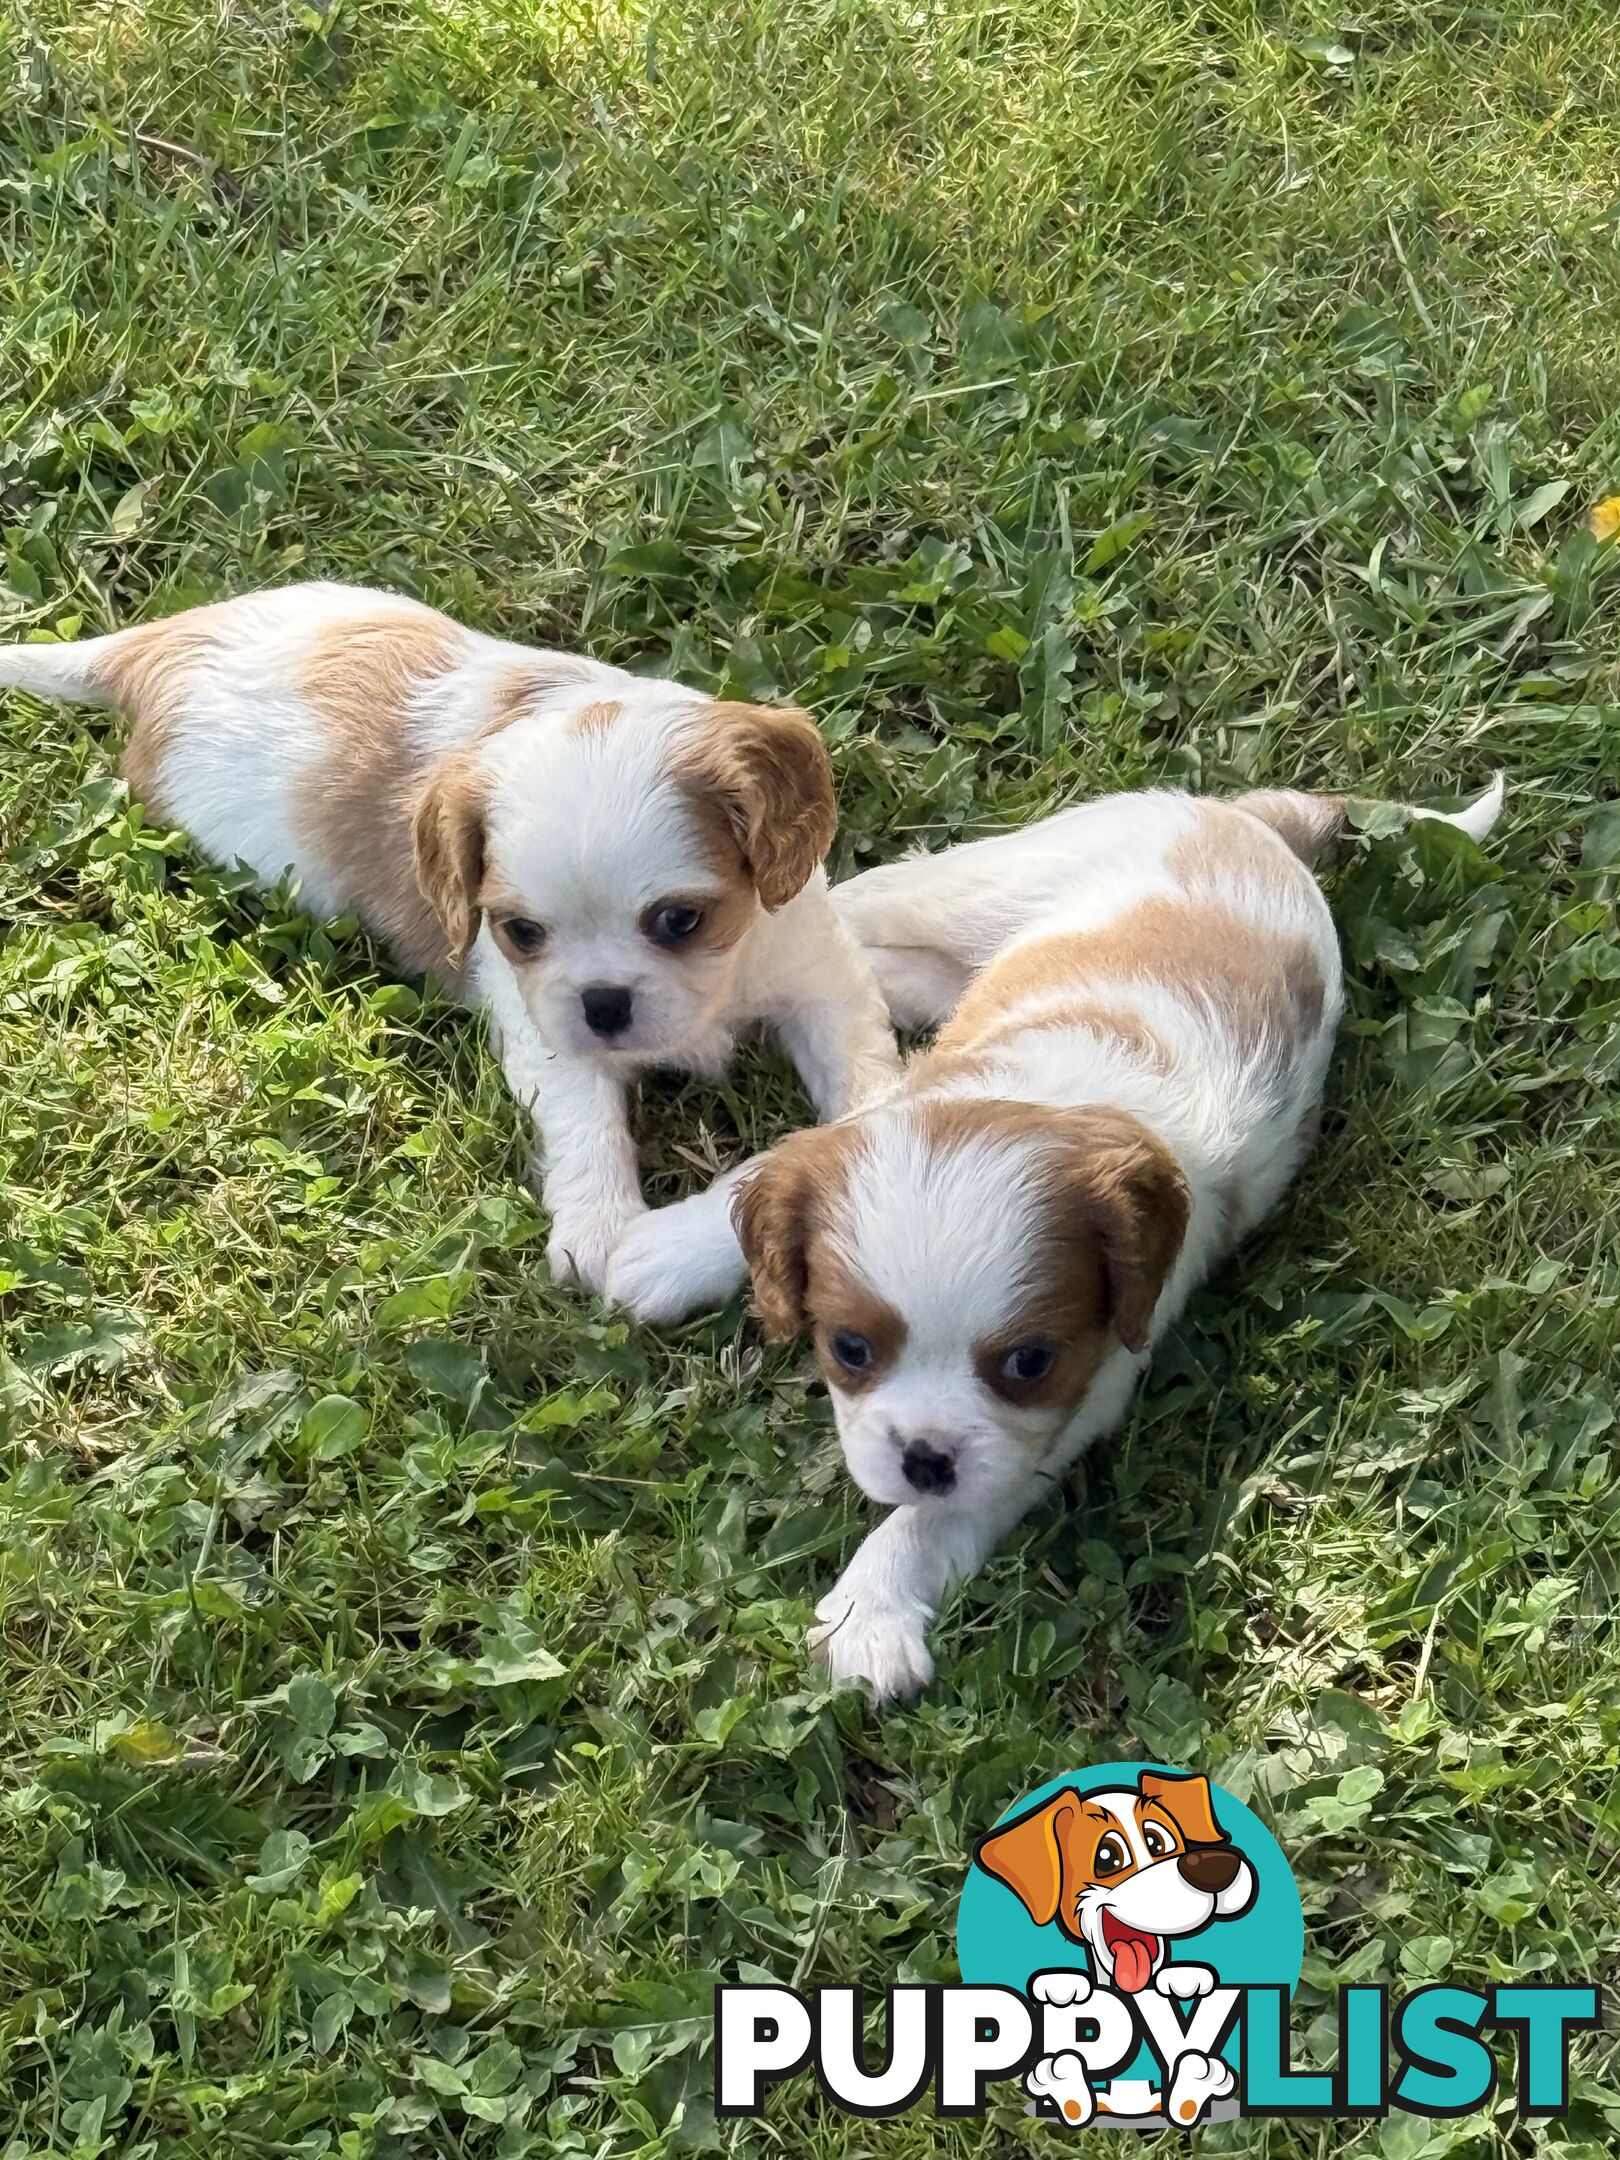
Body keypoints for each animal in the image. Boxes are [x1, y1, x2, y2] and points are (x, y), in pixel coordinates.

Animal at [0, 583, 902, 1287]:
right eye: (521, 931)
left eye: (680, 921)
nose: (605, 1005)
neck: (722, 985)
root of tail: (156, 647)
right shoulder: (541, 1024)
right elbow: (583, 1117)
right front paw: (600, 1230)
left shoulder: (818, 978)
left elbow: (863, 1080)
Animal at [721, 768, 1512, 1693]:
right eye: (849, 1349)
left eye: (1029, 1364)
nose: (924, 1460)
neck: (1068, 1097)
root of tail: (1248, 823)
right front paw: (659, 1255)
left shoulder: (1078, 1395)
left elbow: (957, 1507)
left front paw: (871, 1609)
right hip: (979, 884)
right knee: (849, 909)